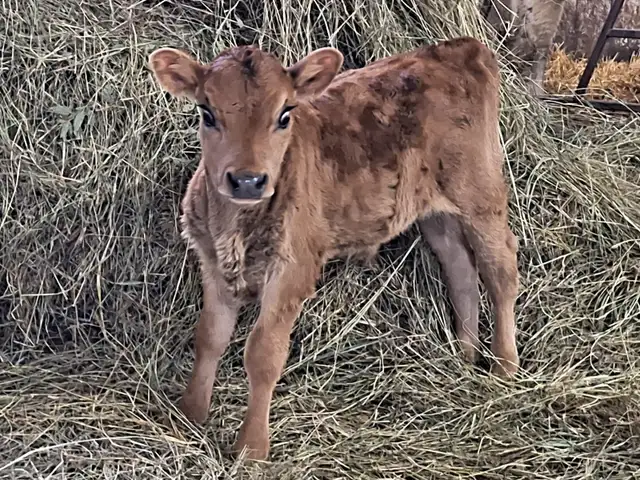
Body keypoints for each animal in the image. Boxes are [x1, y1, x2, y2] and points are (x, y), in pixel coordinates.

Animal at [148, 36, 520, 461]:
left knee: (501, 269)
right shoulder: (212, 262)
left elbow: (264, 354)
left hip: (480, 192)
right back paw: (463, 353)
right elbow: (209, 337)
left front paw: (252, 448)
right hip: (435, 212)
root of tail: (460, 47)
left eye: (285, 115)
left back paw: (504, 365)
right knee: (461, 269)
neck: (236, 228)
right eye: (207, 113)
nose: (247, 180)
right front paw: (188, 416)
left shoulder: (293, 270)